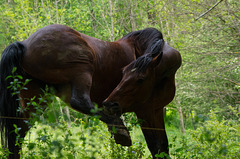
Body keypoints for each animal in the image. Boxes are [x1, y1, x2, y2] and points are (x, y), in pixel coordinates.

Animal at [0, 24, 180, 158]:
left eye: (140, 79)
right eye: (123, 74)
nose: (111, 104)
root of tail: (24, 44)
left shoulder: (156, 110)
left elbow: (162, 146)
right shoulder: (144, 111)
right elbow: (155, 147)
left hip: (35, 100)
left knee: (18, 134)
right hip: (83, 68)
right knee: (80, 101)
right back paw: (119, 130)